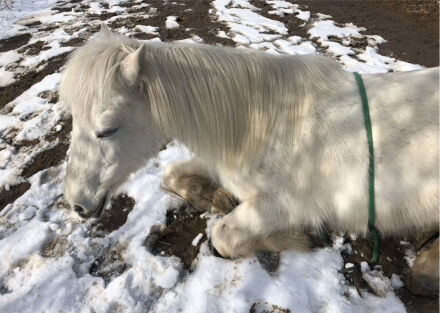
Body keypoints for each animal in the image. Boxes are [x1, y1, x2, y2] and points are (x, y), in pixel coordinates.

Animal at [60, 25, 438, 258]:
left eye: (107, 130)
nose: (76, 204)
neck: (273, 125)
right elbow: (171, 174)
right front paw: (210, 196)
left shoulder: (285, 205)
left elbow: (223, 236)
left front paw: (291, 239)